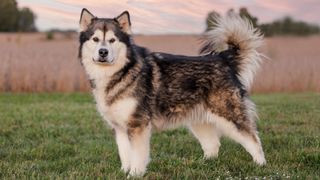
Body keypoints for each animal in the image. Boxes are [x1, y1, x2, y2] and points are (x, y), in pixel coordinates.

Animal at [79, 9, 266, 176]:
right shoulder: (120, 128)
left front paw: (135, 173)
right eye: (95, 39)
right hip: (199, 120)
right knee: (213, 145)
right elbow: (125, 154)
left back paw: (260, 165)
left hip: (229, 115)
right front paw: (124, 171)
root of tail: (223, 59)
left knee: (253, 139)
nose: (103, 52)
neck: (121, 72)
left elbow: (137, 155)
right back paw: (203, 165)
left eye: (112, 40)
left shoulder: (138, 125)